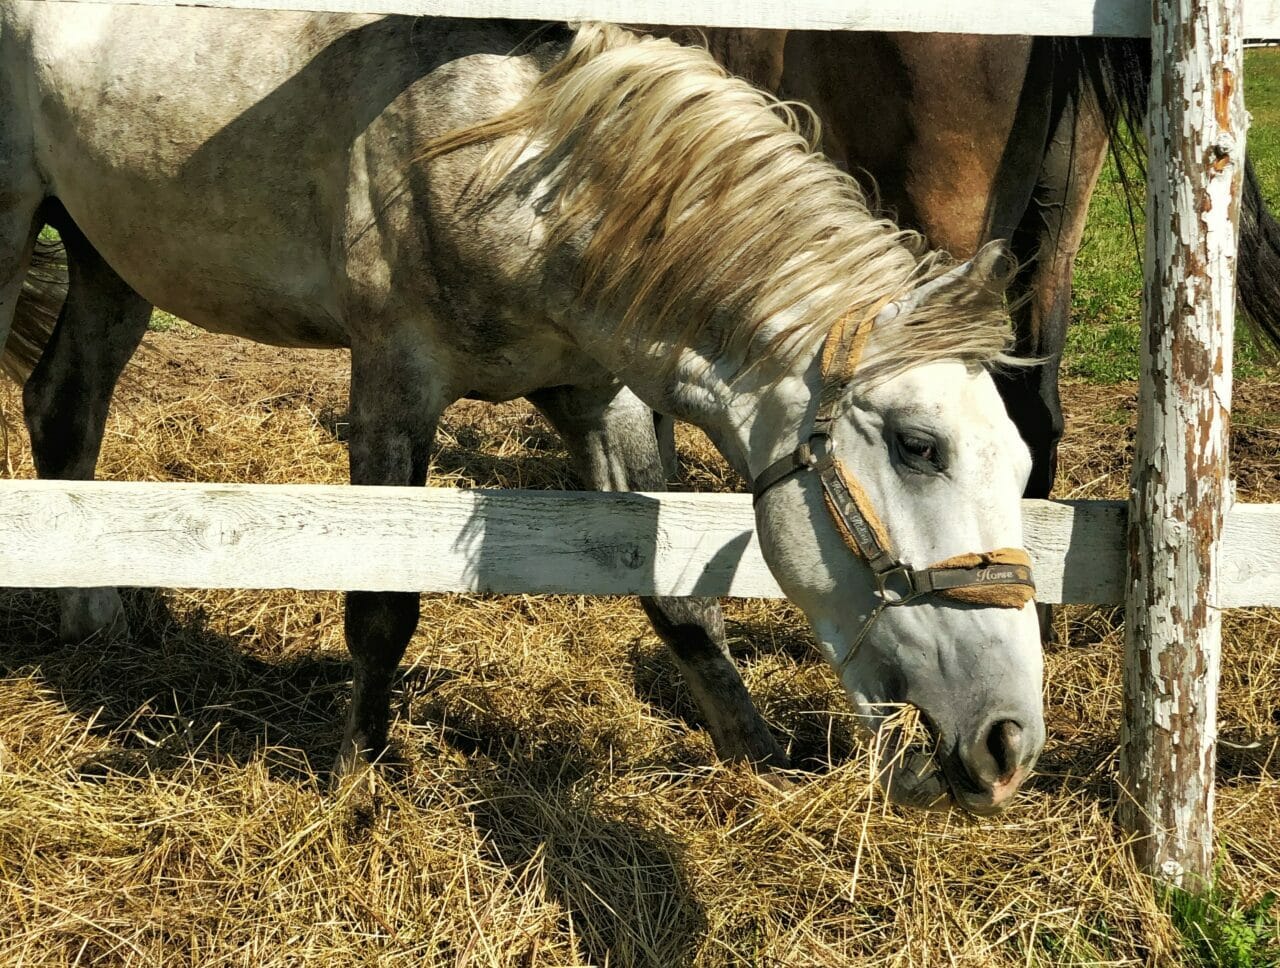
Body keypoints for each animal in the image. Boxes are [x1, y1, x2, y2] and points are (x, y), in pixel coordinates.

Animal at [0, 9, 1039, 809]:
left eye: (1024, 466)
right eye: (918, 447)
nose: (1008, 739)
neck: (522, 160)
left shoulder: (599, 396)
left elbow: (679, 602)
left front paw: (759, 756)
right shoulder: (395, 383)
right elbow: (381, 603)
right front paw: (353, 784)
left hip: (110, 257)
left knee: (63, 406)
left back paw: (91, 615)